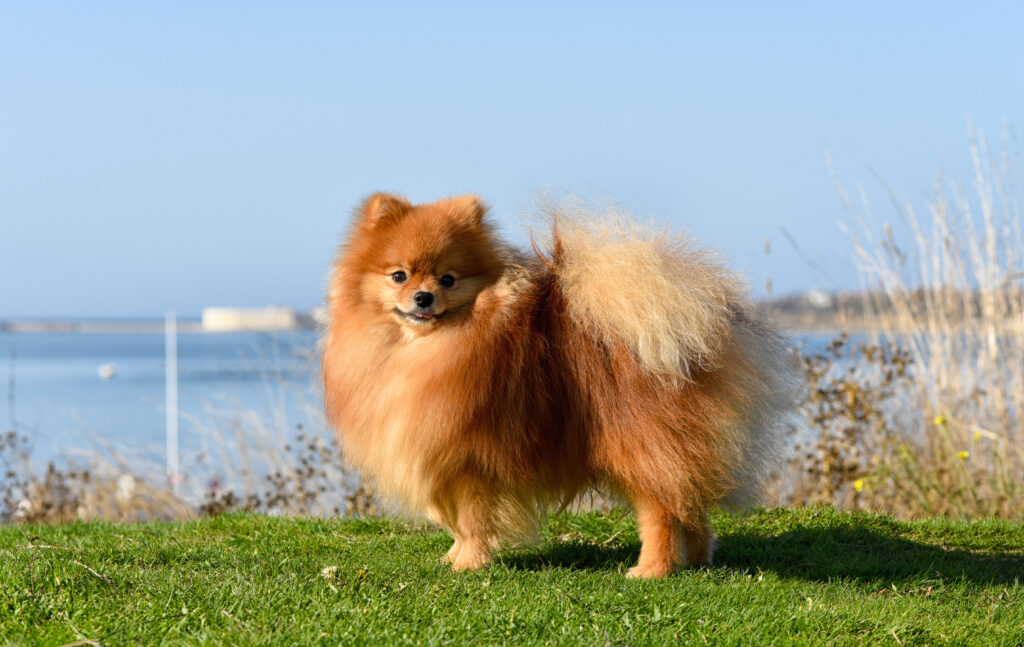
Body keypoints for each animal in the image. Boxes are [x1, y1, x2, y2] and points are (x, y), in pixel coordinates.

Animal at [323, 192, 794, 577]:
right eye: (399, 276)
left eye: (448, 279)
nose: (423, 297)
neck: (425, 351)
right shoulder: (445, 457)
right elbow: (455, 521)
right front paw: (453, 556)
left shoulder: (470, 459)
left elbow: (472, 519)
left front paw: (470, 564)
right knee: (690, 507)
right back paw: (697, 559)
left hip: (639, 446)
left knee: (660, 511)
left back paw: (652, 570)